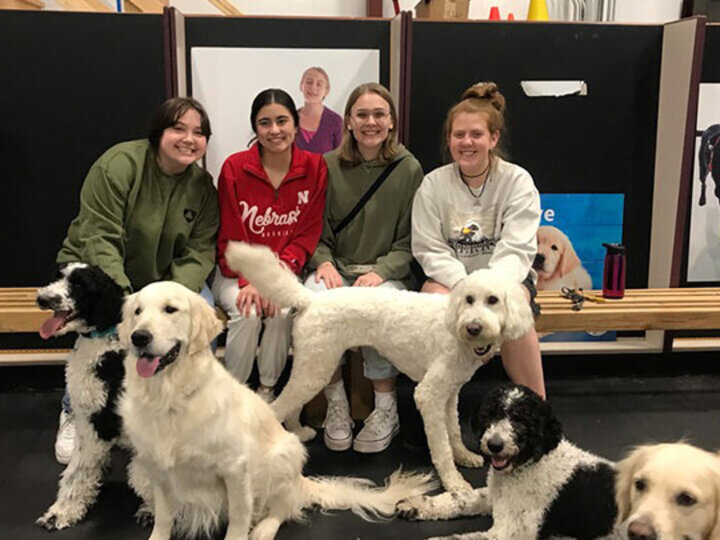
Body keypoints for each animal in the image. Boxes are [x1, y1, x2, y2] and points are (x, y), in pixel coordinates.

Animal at [35, 264, 127, 528]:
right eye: (59, 276)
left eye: (79, 284)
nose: (42, 298)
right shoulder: (86, 420)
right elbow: (76, 470)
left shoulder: (101, 423)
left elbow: (79, 470)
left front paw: (61, 513)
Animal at [119, 282, 436, 540]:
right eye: (137, 311)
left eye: (171, 309)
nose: (139, 337)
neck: (169, 398)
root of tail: (301, 480)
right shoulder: (159, 471)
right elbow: (163, 520)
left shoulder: (235, 470)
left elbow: (238, 520)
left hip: (283, 457)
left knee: (282, 508)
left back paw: (263, 529)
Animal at [225, 242, 536, 494]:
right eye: (469, 299)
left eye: (493, 300)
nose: (473, 327)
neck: (454, 323)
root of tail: (311, 299)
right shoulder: (429, 394)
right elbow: (441, 446)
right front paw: (454, 483)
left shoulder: (449, 393)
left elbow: (454, 431)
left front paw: (464, 456)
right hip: (316, 366)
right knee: (277, 405)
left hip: (311, 365)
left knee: (289, 403)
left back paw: (299, 432)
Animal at [400, 384, 620, 540]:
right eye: (489, 414)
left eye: (521, 420)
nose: (494, 445)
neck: (529, 465)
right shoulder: (494, 497)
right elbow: (462, 498)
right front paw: (416, 504)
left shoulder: (513, 532)